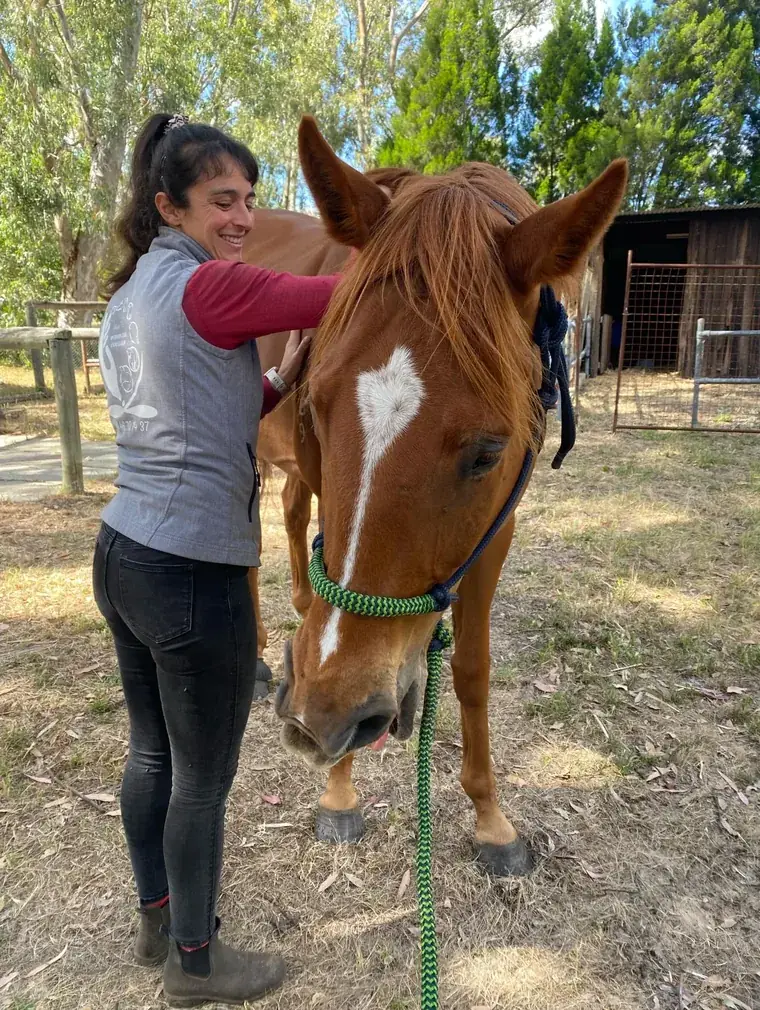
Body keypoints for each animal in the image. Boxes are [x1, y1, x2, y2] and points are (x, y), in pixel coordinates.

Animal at [248, 117, 627, 875]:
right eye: (318, 407)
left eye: (487, 452)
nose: (317, 717)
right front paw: (340, 790)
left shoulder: (495, 529)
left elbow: (472, 670)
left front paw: (491, 819)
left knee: (292, 523)